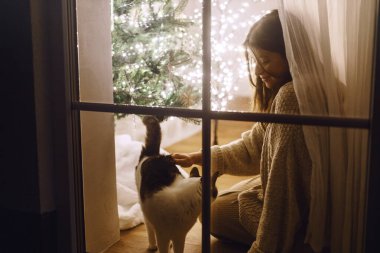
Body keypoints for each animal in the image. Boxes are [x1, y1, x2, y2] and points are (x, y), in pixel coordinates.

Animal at [136, 115, 220, 252]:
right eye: (216, 191)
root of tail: (155, 155)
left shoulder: (180, 236)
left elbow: (179, 249)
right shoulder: (162, 235)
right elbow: (163, 246)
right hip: (143, 206)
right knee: (149, 226)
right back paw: (152, 245)